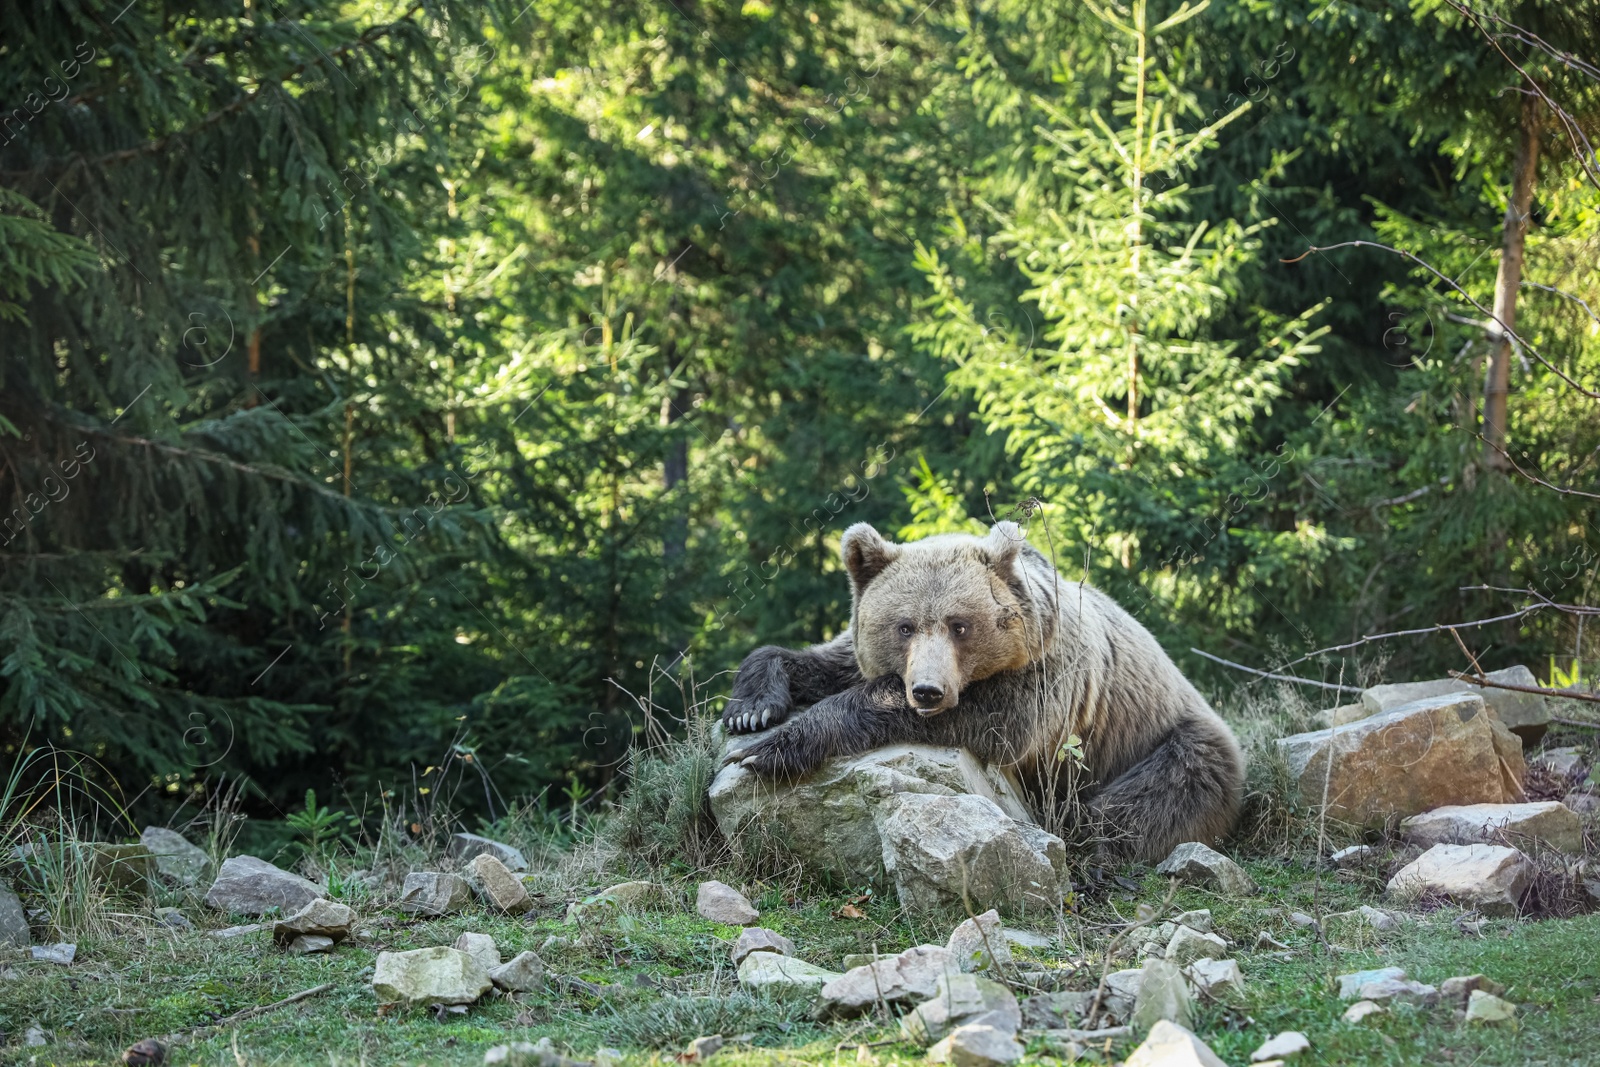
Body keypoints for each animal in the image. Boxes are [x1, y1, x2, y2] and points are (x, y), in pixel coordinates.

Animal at [726, 521, 1248, 863]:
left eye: (960, 625)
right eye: (904, 626)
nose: (928, 692)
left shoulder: (1045, 675)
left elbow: (996, 722)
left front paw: (771, 749)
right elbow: (825, 663)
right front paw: (752, 711)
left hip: (1169, 742)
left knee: (1149, 799)